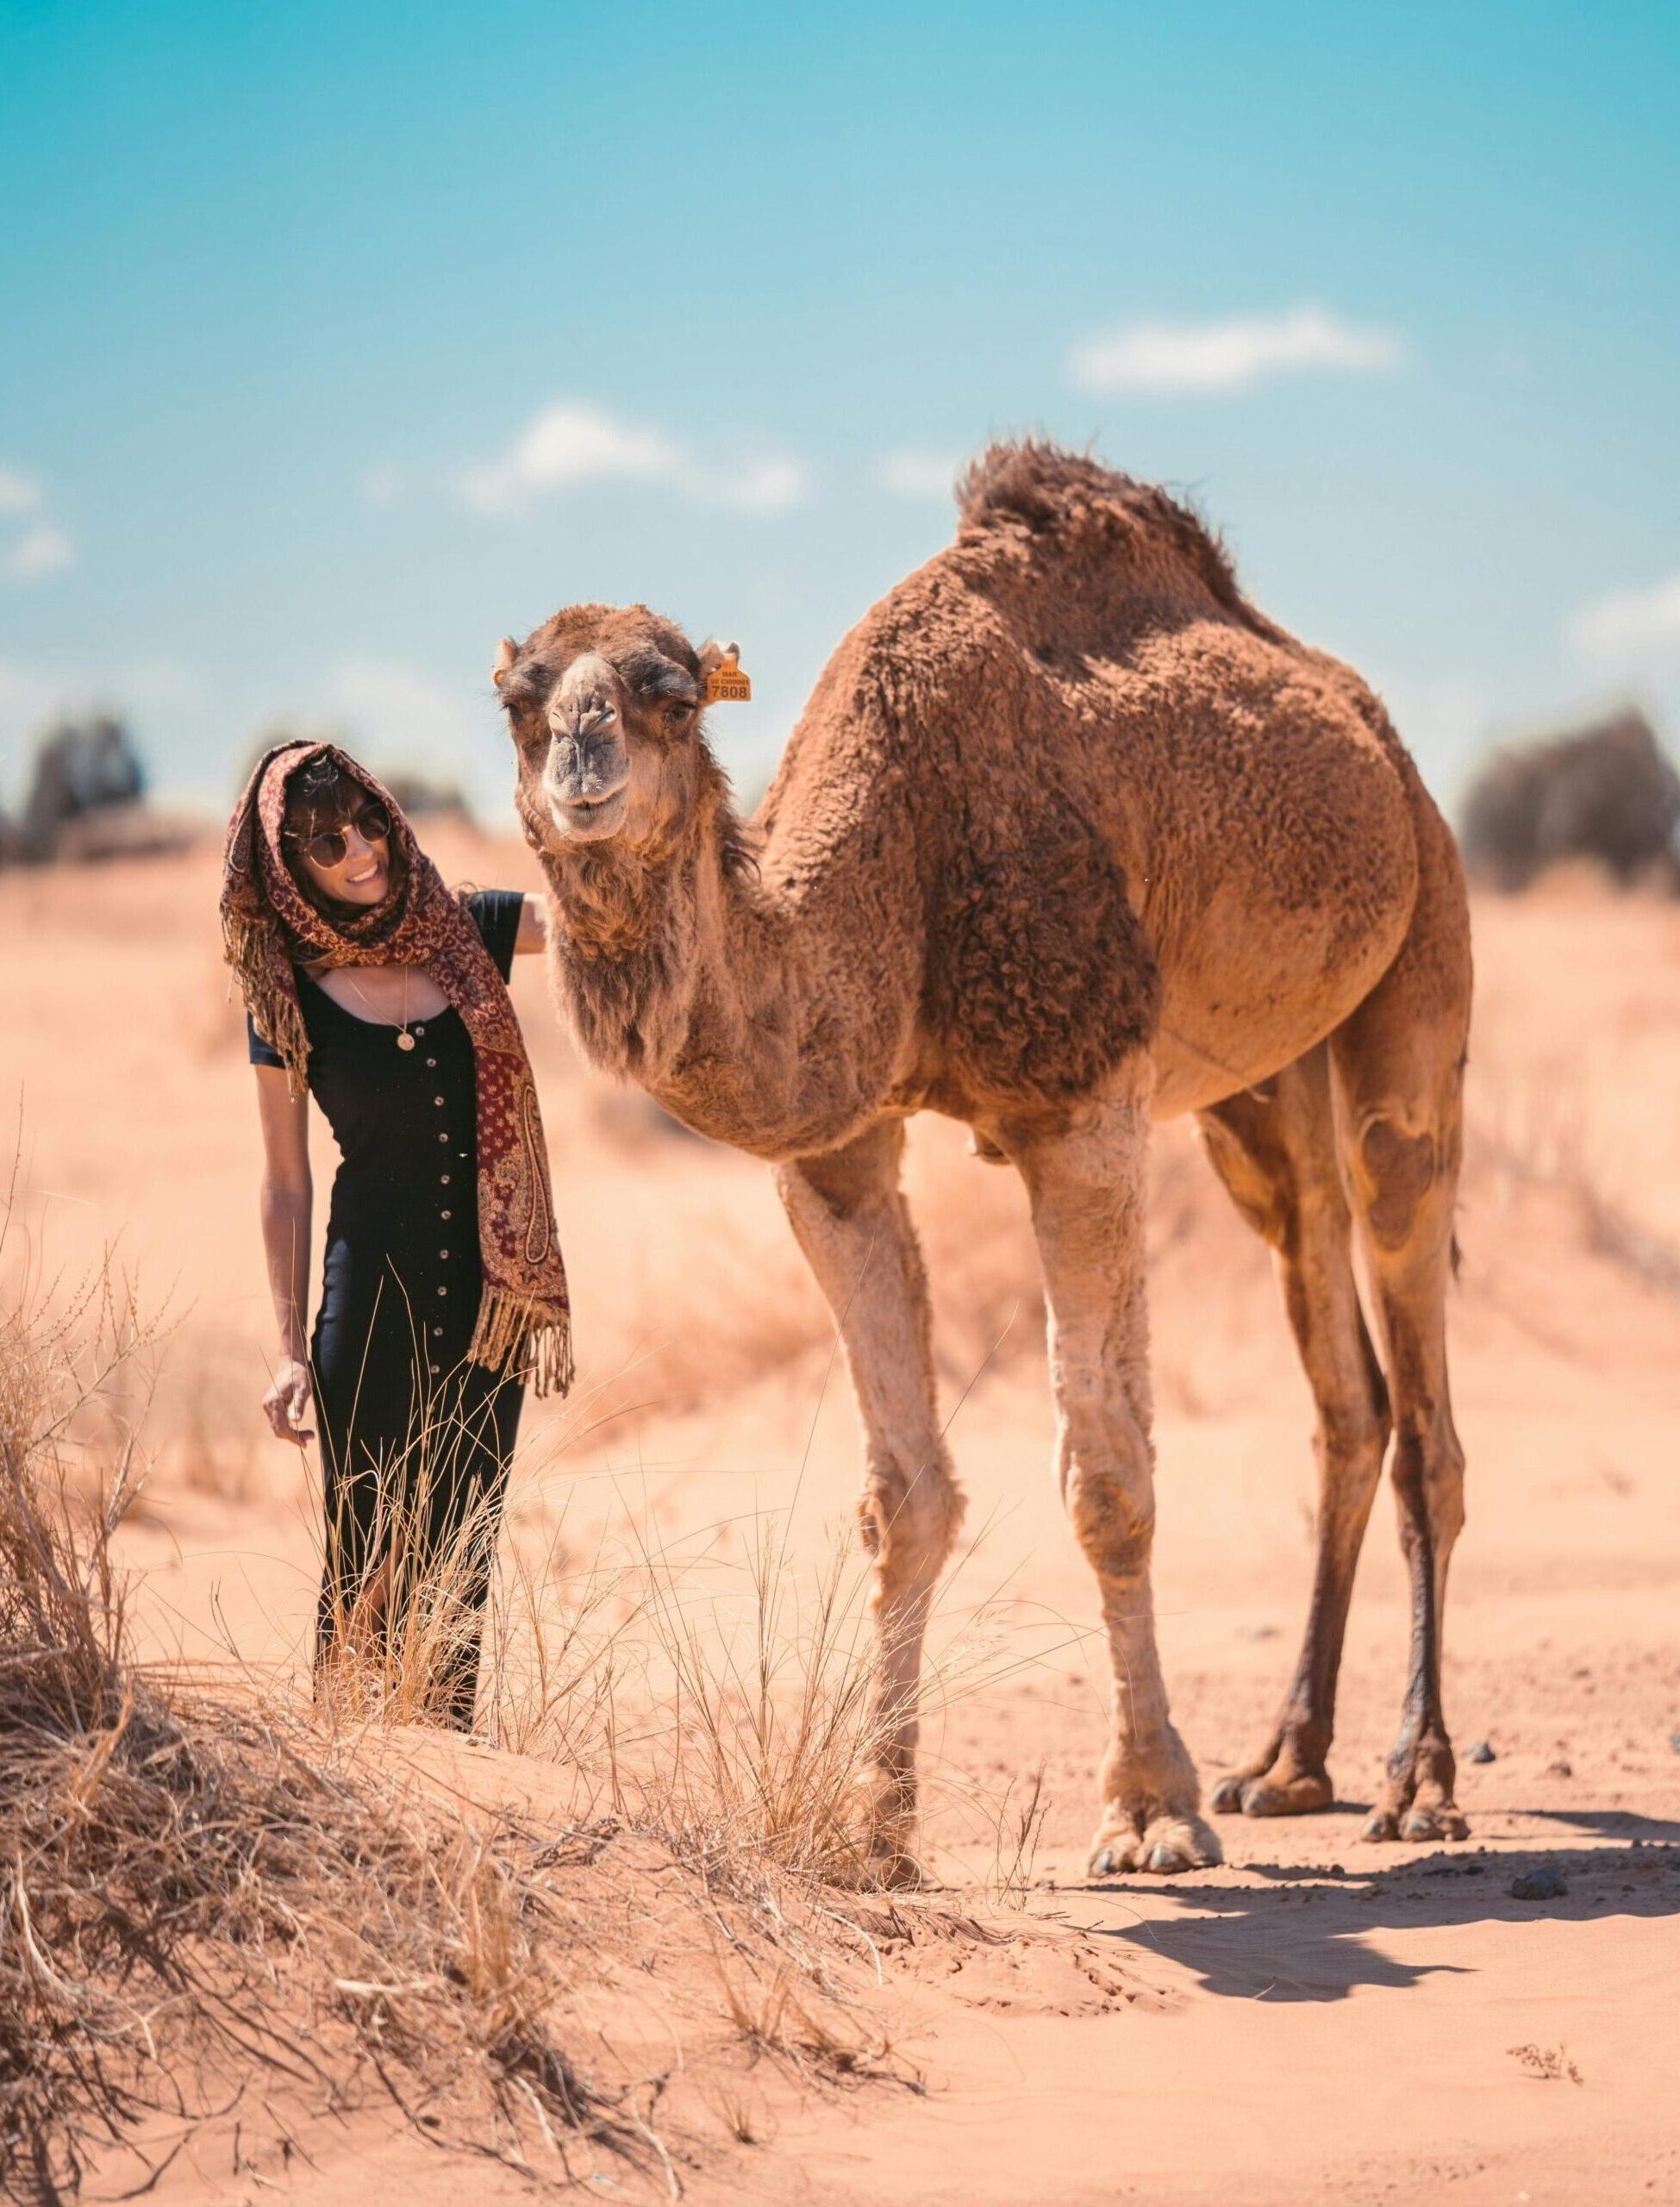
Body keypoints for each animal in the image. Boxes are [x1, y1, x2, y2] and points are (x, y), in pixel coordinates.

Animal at [494, 443, 1465, 1880]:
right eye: (519, 697)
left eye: (668, 694)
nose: (581, 766)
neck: (893, 868)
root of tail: (1371, 731)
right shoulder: (835, 1151)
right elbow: (903, 1495)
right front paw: (876, 1825)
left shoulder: (1081, 1103)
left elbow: (1108, 1475)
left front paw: (1148, 1809)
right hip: (1257, 1103)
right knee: (1343, 1380)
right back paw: (1288, 1763)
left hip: (1421, 953)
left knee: (1414, 1343)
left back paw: (1420, 1779)